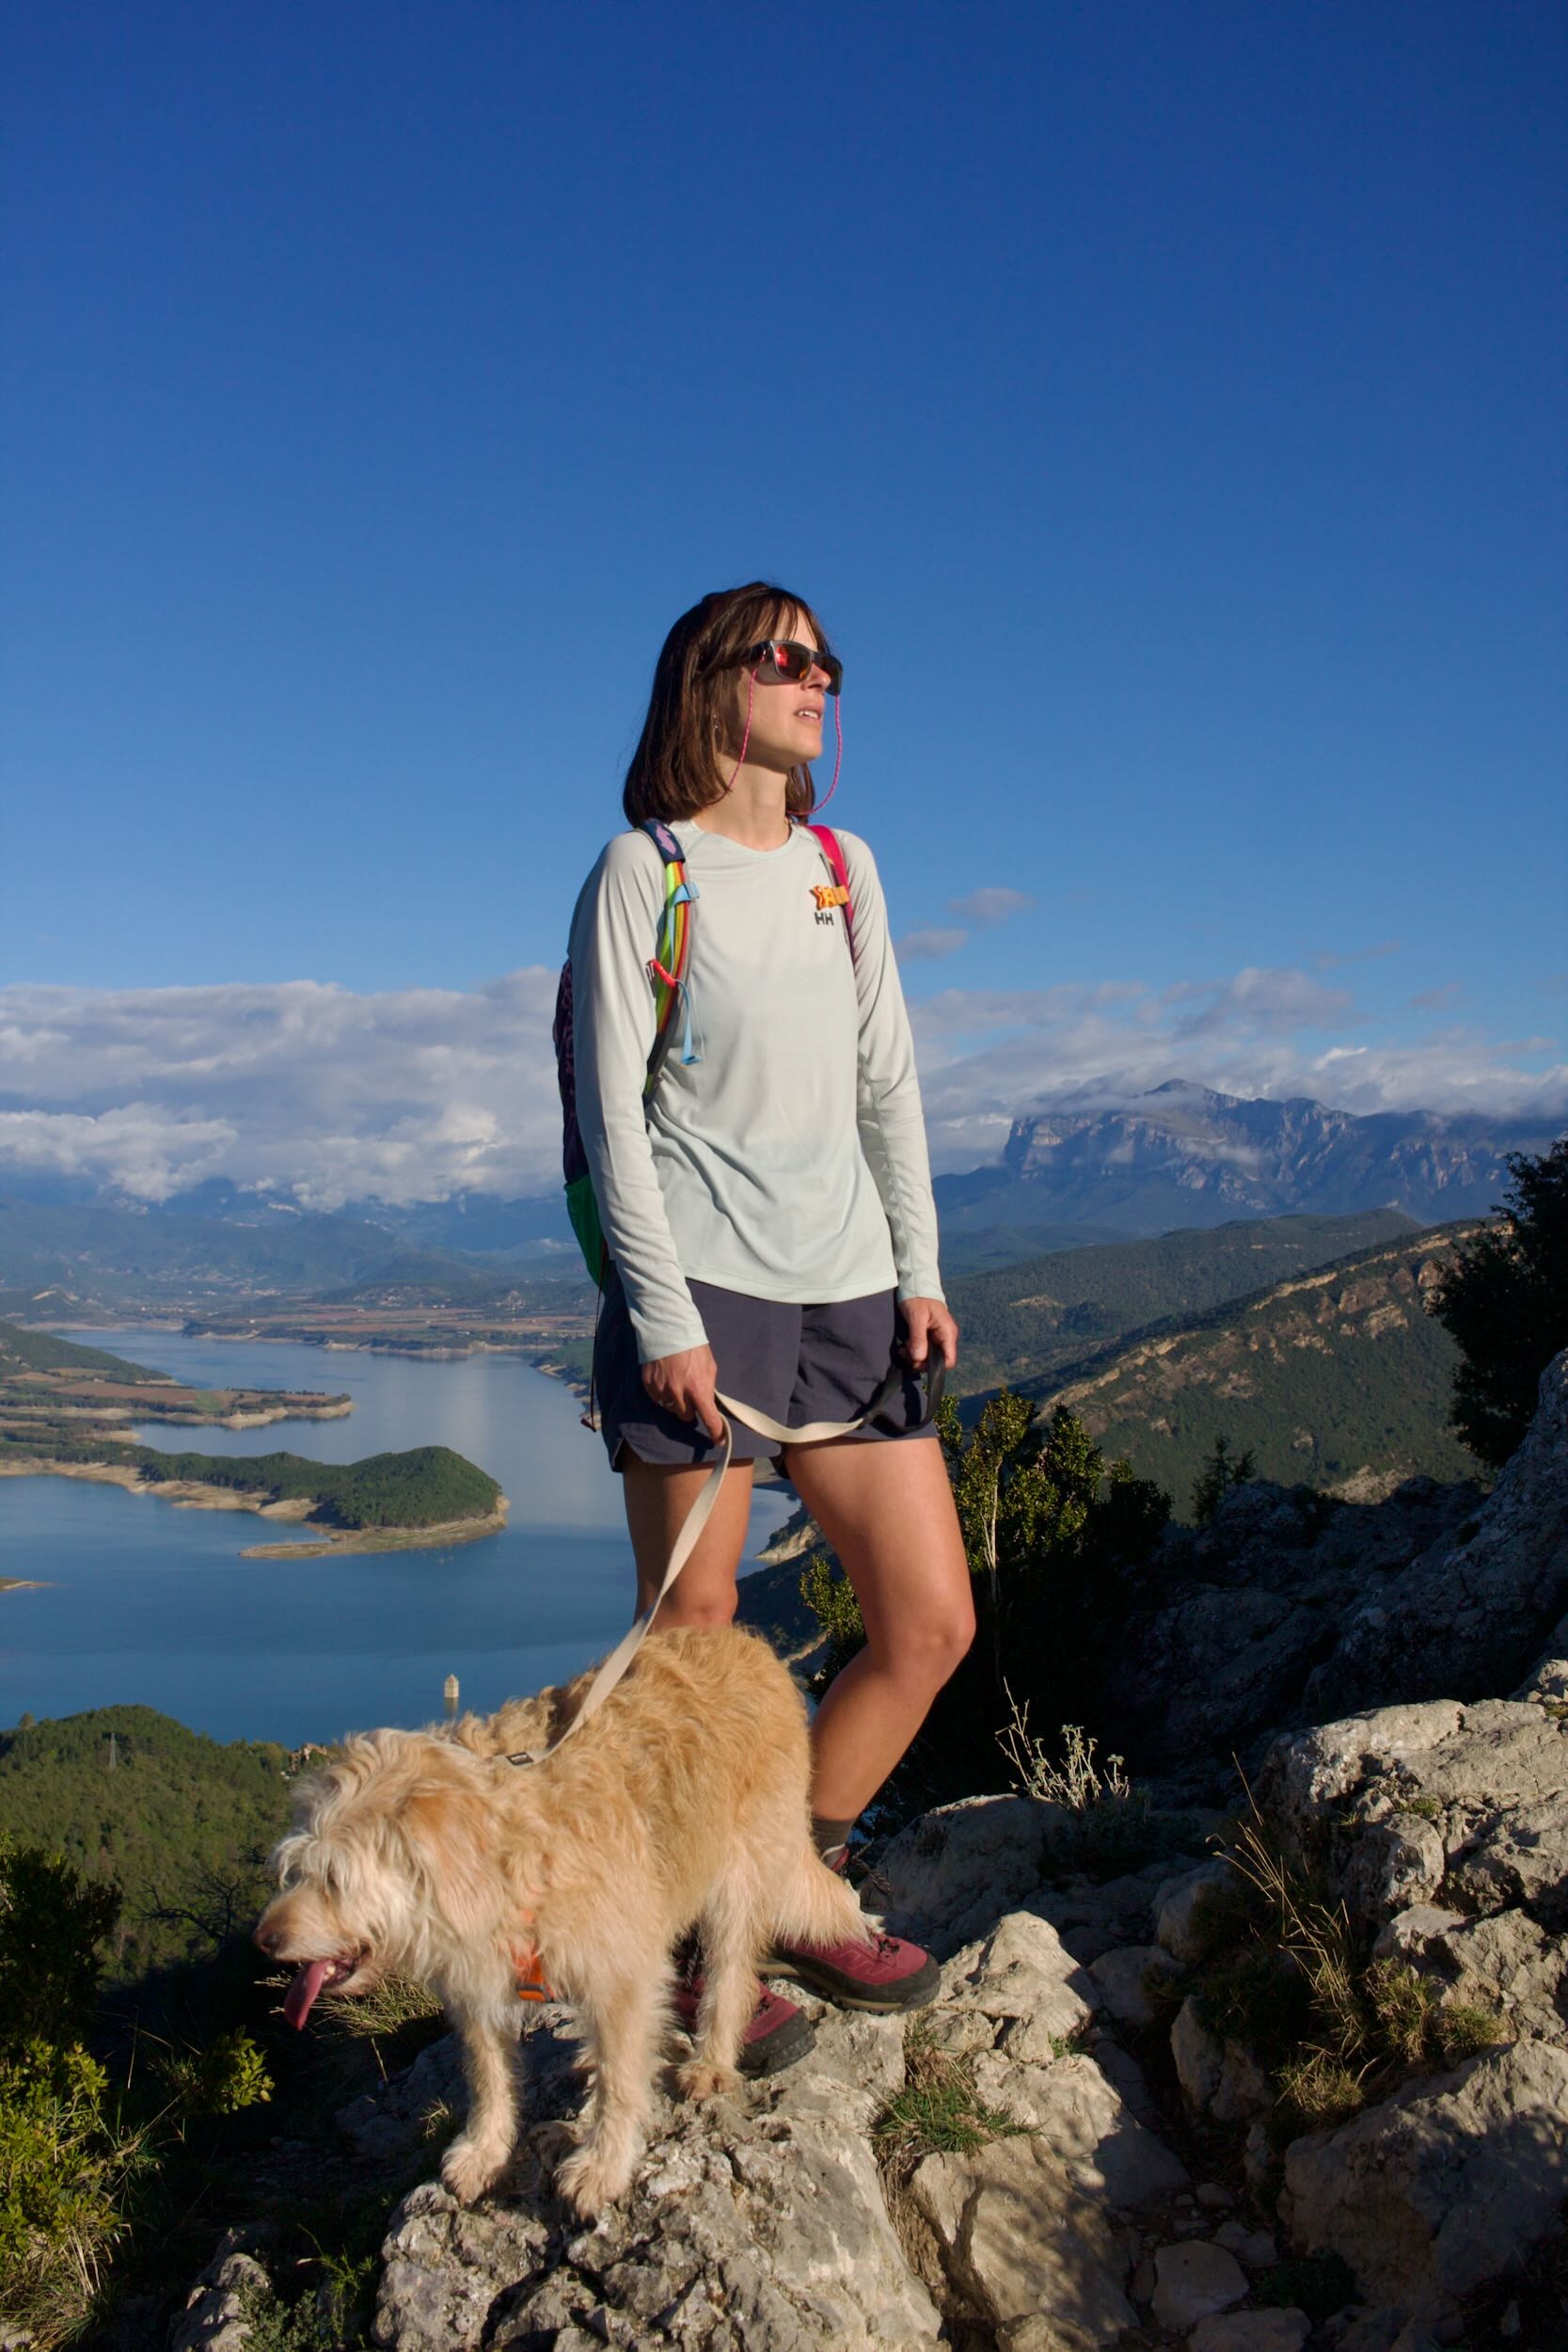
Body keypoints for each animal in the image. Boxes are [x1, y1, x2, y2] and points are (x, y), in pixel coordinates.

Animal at [253, 1624, 871, 2217]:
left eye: (336, 1879)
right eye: (295, 1870)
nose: (265, 1939)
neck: (512, 1846)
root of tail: (754, 1648)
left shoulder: (622, 1978)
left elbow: (620, 2081)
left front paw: (602, 2167)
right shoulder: (478, 1986)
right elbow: (488, 2074)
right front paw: (485, 2150)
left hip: (738, 1877)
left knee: (731, 1973)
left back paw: (712, 2059)